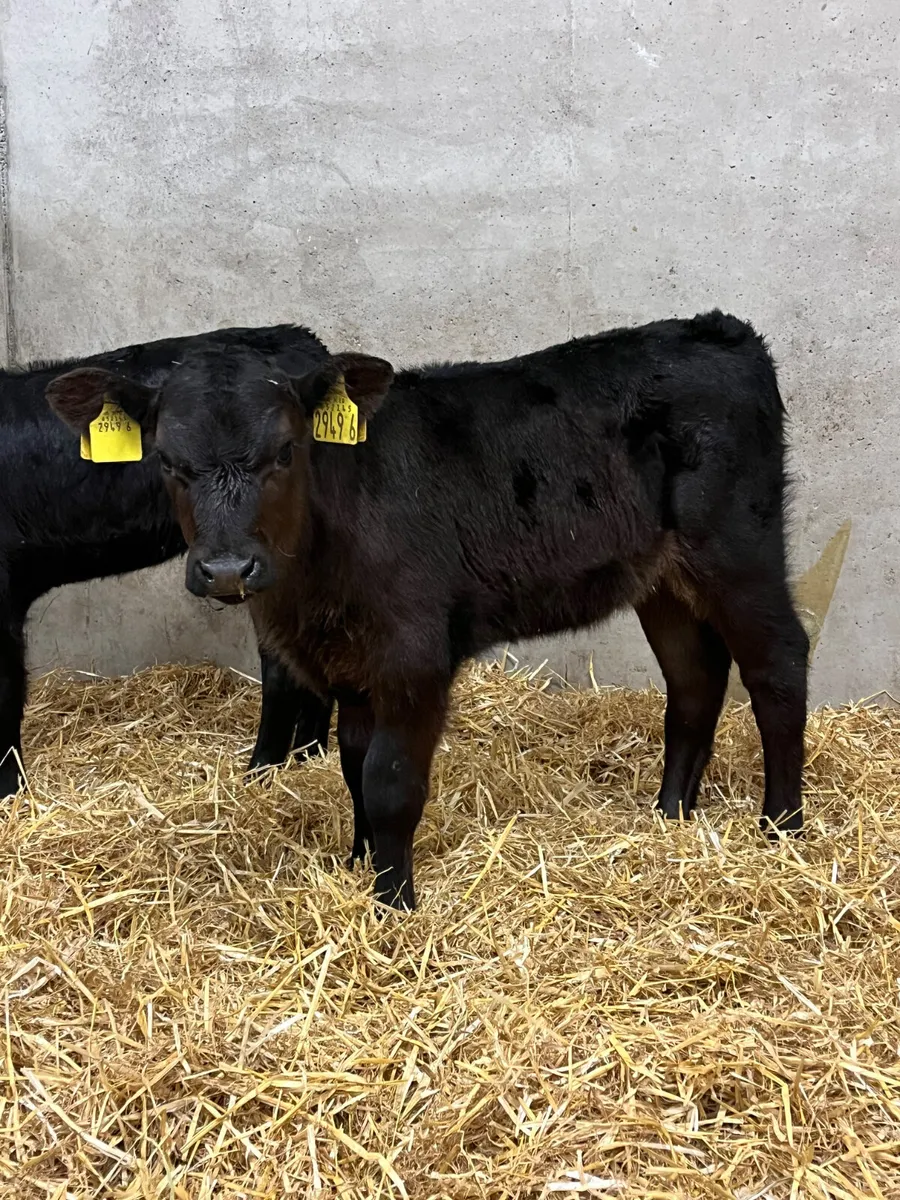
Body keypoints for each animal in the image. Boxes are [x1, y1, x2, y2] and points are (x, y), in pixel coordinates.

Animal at [46, 310, 810, 910]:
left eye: (286, 451)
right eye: (167, 462)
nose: (228, 569)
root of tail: (721, 330)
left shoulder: (413, 657)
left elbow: (389, 781)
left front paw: (394, 904)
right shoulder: (350, 667)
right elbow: (353, 768)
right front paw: (357, 865)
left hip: (739, 544)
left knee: (777, 664)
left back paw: (782, 826)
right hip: (662, 576)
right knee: (695, 679)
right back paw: (670, 816)